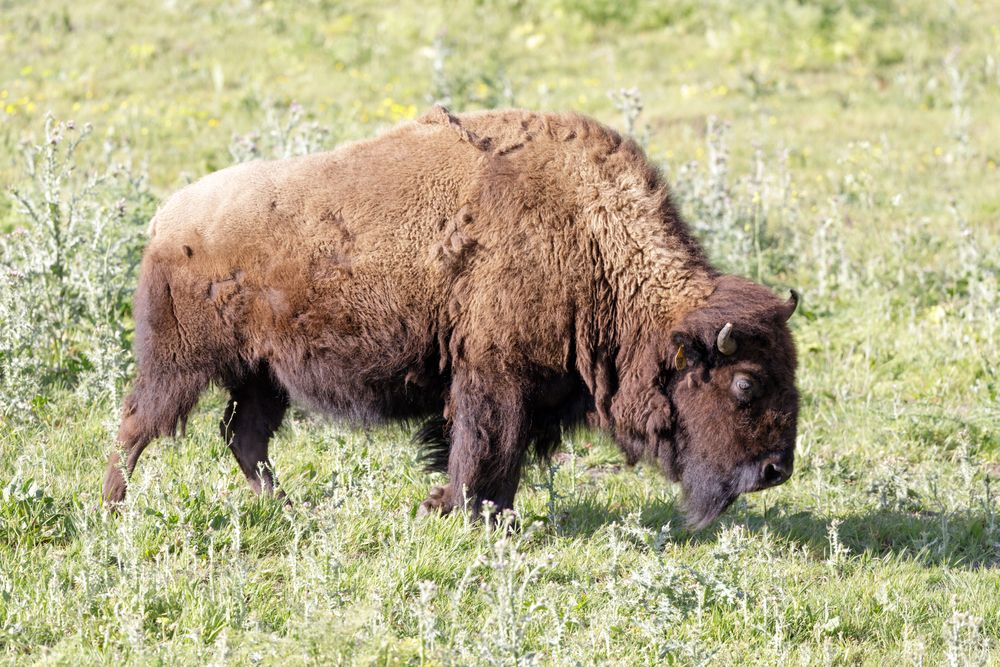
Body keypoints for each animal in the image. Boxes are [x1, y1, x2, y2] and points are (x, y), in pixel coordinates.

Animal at [102, 107, 799, 528]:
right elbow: (484, 450)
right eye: (745, 384)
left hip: (262, 375)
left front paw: (493, 516)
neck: (591, 238)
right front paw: (456, 510)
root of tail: (169, 220)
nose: (776, 471)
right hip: (181, 364)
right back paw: (113, 507)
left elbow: (501, 460)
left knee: (243, 437)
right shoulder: (494, 380)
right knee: (139, 423)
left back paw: (289, 509)